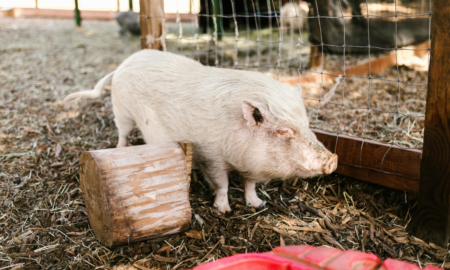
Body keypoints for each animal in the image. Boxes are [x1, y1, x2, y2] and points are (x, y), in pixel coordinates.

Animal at [63, 49, 338, 213]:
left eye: (307, 125)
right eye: (283, 132)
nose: (333, 159)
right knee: (121, 131)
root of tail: (124, 62)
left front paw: (258, 204)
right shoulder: (211, 158)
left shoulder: (249, 165)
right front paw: (224, 210)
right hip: (121, 109)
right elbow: (222, 184)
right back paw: (120, 148)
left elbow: (249, 184)